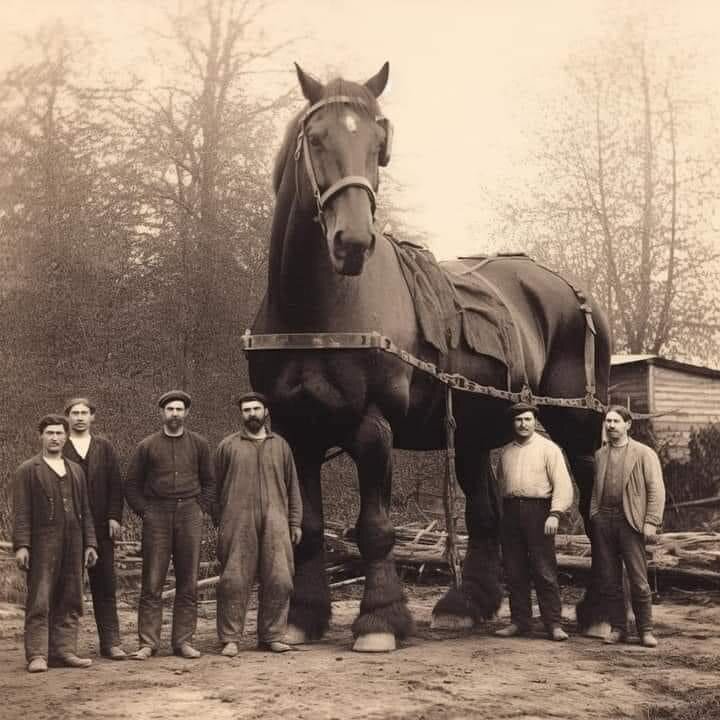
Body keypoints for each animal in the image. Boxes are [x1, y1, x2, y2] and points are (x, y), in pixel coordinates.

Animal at [250, 63, 612, 652]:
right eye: (317, 138)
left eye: (379, 146)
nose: (353, 241)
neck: (316, 312)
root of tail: (571, 289)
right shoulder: (298, 428)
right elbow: (310, 529)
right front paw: (304, 615)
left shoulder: (373, 427)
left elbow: (374, 530)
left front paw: (378, 620)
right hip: (475, 431)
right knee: (485, 516)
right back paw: (469, 606)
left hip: (577, 425)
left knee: (595, 510)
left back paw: (601, 611)